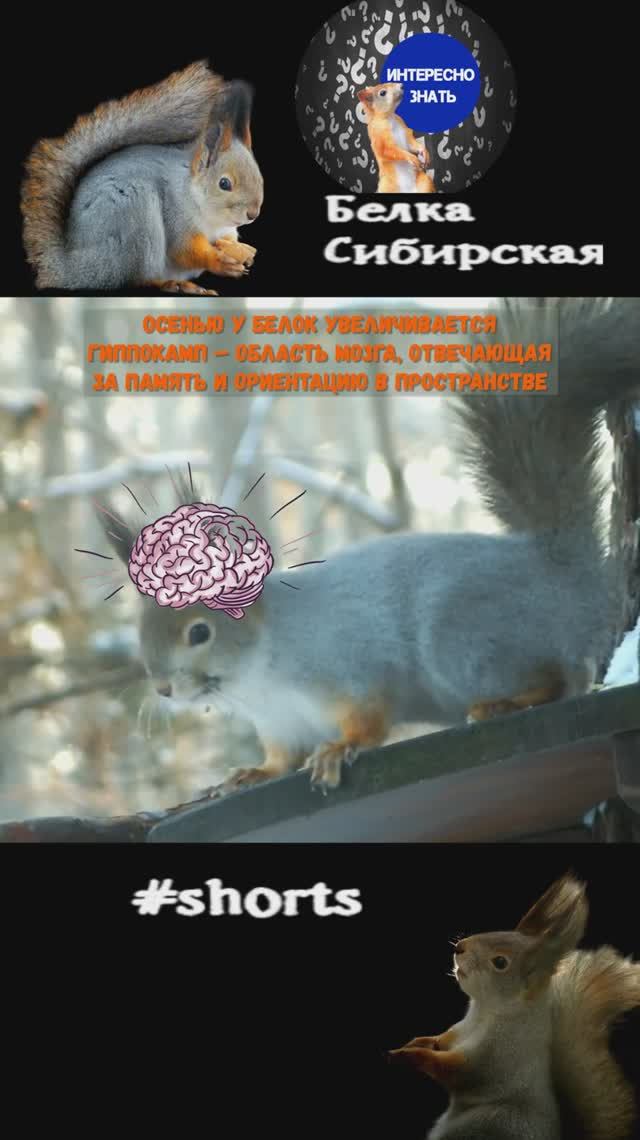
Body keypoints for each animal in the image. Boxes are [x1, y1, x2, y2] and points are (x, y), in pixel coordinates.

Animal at [20, 61, 263, 294]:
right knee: (139, 278)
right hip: (135, 217)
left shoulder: (226, 230)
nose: (252, 214)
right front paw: (220, 262)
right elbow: (184, 250)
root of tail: (73, 267)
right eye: (224, 183)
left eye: (260, 179)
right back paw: (175, 285)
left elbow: (227, 240)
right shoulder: (176, 216)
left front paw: (240, 250)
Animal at [98, 297, 640, 795]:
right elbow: (280, 759)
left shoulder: (350, 665)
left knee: (561, 679)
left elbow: (370, 716)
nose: (164, 689)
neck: (259, 674)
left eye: (199, 633)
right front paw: (252, 773)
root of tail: (564, 569)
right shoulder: (280, 723)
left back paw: (503, 702)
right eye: (142, 628)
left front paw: (340, 748)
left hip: (466, 637)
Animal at [389, 874, 640, 1140]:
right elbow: (441, 1040)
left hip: (488, 1123)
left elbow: (456, 1071)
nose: (459, 947)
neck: (486, 1012)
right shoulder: (460, 1030)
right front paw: (417, 1042)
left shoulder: (497, 1055)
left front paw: (409, 1054)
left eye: (500, 962)